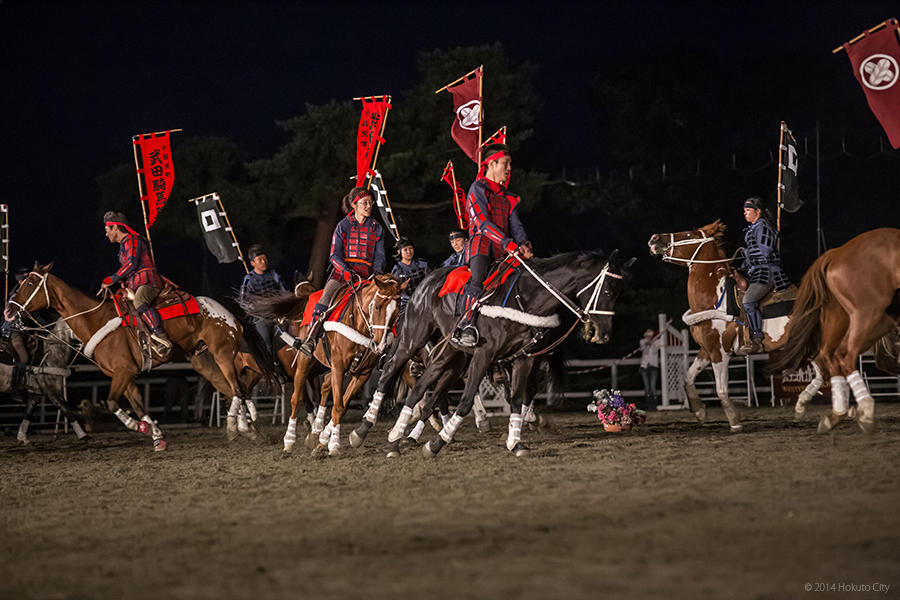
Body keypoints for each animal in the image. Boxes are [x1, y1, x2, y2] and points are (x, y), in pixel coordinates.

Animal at [7, 262, 270, 450]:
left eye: (30, 282)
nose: (8, 311)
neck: (96, 319)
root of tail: (230, 313)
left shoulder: (124, 372)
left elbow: (112, 403)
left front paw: (138, 426)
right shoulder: (126, 376)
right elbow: (138, 405)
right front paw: (157, 436)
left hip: (223, 353)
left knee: (237, 388)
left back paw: (238, 426)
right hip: (203, 361)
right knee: (231, 389)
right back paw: (248, 430)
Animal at [243, 274, 404, 454]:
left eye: (397, 311)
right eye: (377, 307)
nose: (380, 344)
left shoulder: (362, 373)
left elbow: (342, 405)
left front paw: (325, 439)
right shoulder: (338, 367)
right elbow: (336, 405)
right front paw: (333, 444)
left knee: (323, 387)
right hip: (303, 362)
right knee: (295, 398)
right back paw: (289, 440)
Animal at [350, 250, 632, 460]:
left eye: (619, 292)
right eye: (608, 290)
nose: (604, 334)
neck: (524, 297)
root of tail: (425, 282)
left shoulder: (524, 359)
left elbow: (517, 398)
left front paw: (516, 441)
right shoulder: (484, 354)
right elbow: (465, 401)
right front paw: (438, 442)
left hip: (451, 352)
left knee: (423, 387)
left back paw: (396, 438)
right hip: (414, 338)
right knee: (390, 373)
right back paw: (363, 429)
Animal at [652, 221, 828, 432]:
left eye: (688, 234)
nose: (654, 238)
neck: (716, 298)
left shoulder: (720, 352)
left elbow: (721, 390)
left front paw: (734, 420)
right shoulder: (706, 350)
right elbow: (688, 379)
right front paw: (700, 411)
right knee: (822, 375)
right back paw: (801, 407)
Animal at [768, 227, 900, 434]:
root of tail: (835, 254)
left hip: (845, 318)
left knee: (830, 356)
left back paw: (839, 412)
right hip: (866, 314)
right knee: (842, 355)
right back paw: (862, 411)